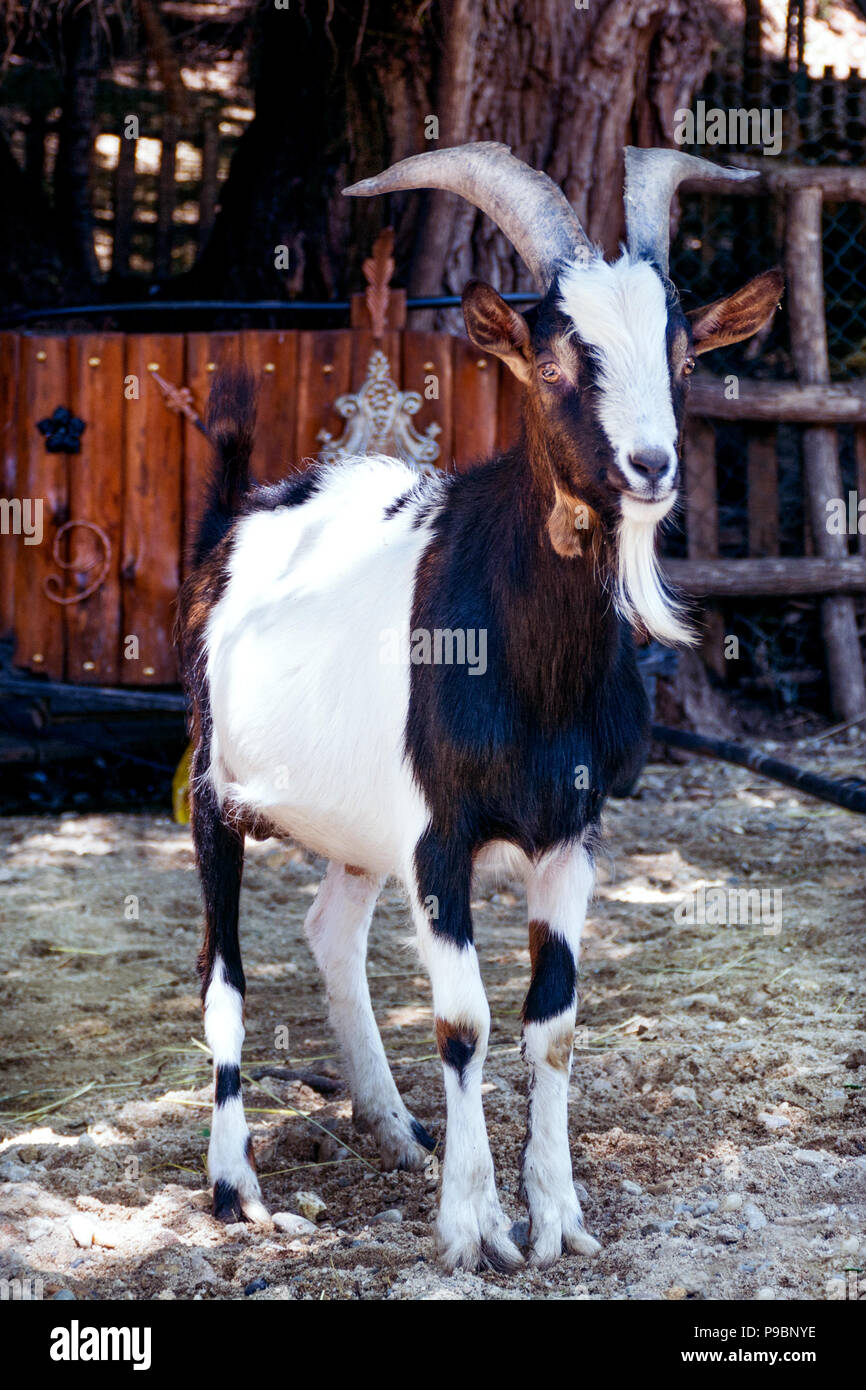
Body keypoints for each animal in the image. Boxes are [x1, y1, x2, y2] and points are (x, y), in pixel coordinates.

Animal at [176, 143, 783, 1272]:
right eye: (553, 363)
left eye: (682, 357)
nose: (650, 466)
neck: (532, 670)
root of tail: (240, 518)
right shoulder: (439, 837)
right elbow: (465, 1022)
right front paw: (473, 1226)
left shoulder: (570, 835)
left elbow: (553, 1021)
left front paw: (556, 1217)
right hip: (213, 785)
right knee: (221, 970)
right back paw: (235, 1182)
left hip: (358, 823)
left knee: (331, 930)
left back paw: (392, 1125)